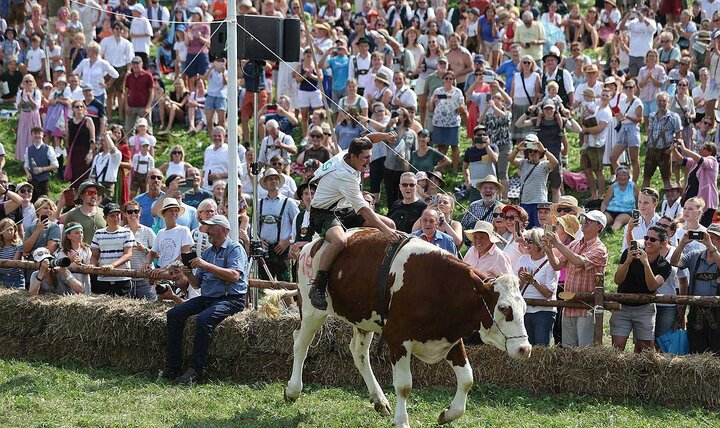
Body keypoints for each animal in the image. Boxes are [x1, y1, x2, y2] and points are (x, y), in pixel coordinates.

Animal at [284, 231, 532, 428]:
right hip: (311, 311)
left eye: (525, 307)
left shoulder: (450, 338)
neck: (440, 286)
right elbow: (404, 386)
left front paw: (448, 414)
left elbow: (467, 379)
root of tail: (310, 245)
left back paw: (380, 401)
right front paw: (402, 421)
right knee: (300, 343)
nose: (525, 348)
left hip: (363, 320)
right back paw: (293, 390)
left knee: (359, 353)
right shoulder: (397, 339)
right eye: (503, 308)